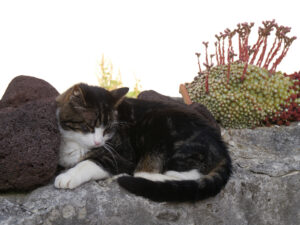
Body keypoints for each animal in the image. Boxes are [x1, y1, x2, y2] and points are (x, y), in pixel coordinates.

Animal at [54, 83, 232, 202]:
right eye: (90, 126)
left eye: (107, 129)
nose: (98, 143)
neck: (75, 143)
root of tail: (221, 146)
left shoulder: (123, 155)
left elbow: (90, 163)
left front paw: (69, 176)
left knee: (185, 175)